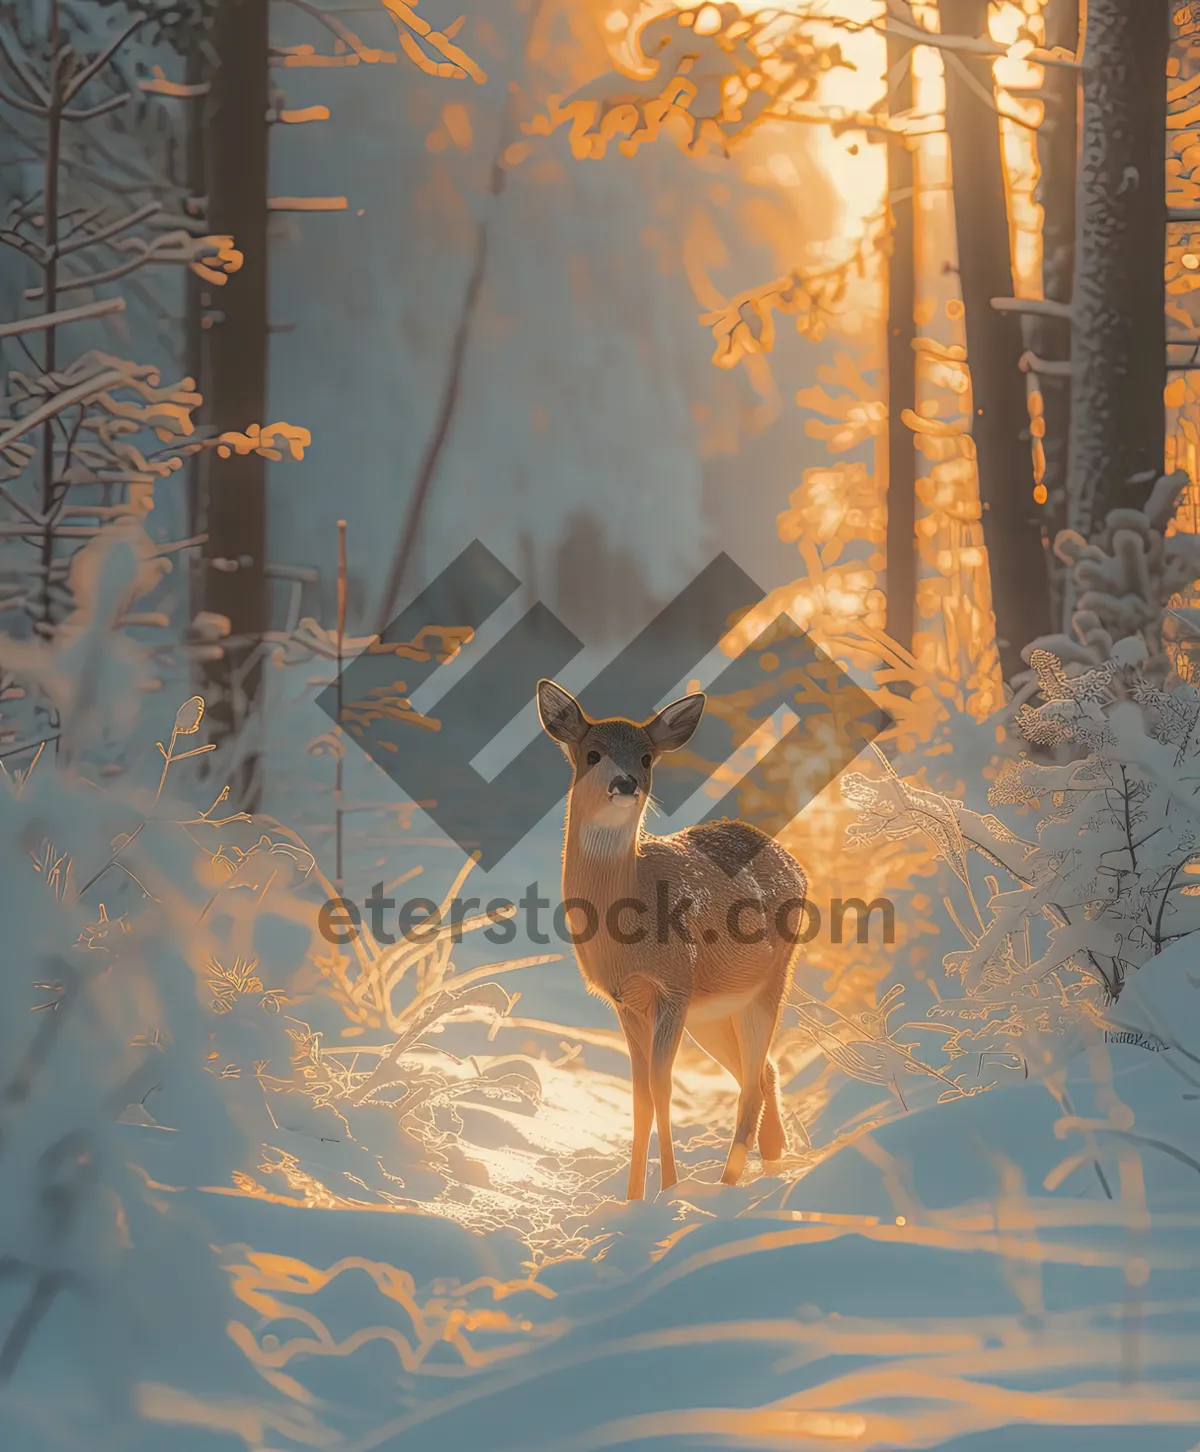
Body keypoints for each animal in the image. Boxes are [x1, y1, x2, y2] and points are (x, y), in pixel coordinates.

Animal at [534, 679, 801, 1202]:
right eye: (592, 754)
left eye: (646, 757)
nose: (625, 784)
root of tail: (794, 863)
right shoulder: (627, 999)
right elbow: (639, 1096)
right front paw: (633, 1196)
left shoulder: (673, 985)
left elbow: (662, 1086)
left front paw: (669, 1190)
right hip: (715, 1011)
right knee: (762, 1070)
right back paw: (771, 1157)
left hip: (768, 982)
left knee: (752, 1080)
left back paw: (728, 1181)